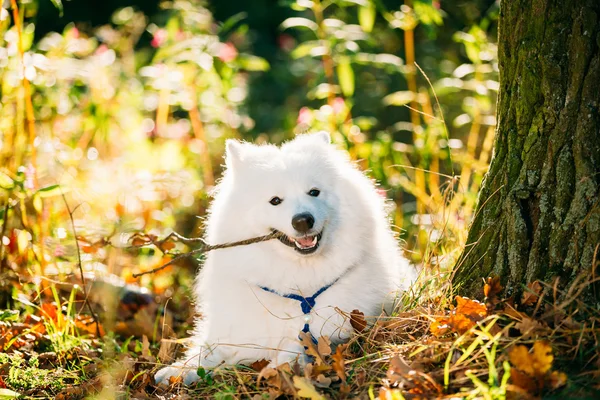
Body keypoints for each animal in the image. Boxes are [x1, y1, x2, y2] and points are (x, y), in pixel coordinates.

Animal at [156, 131, 412, 384]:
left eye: (314, 192)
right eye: (275, 200)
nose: (302, 220)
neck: (300, 289)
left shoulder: (338, 329)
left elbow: (294, 348)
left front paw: (279, 368)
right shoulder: (236, 332)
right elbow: (205, 354)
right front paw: (177, 371)